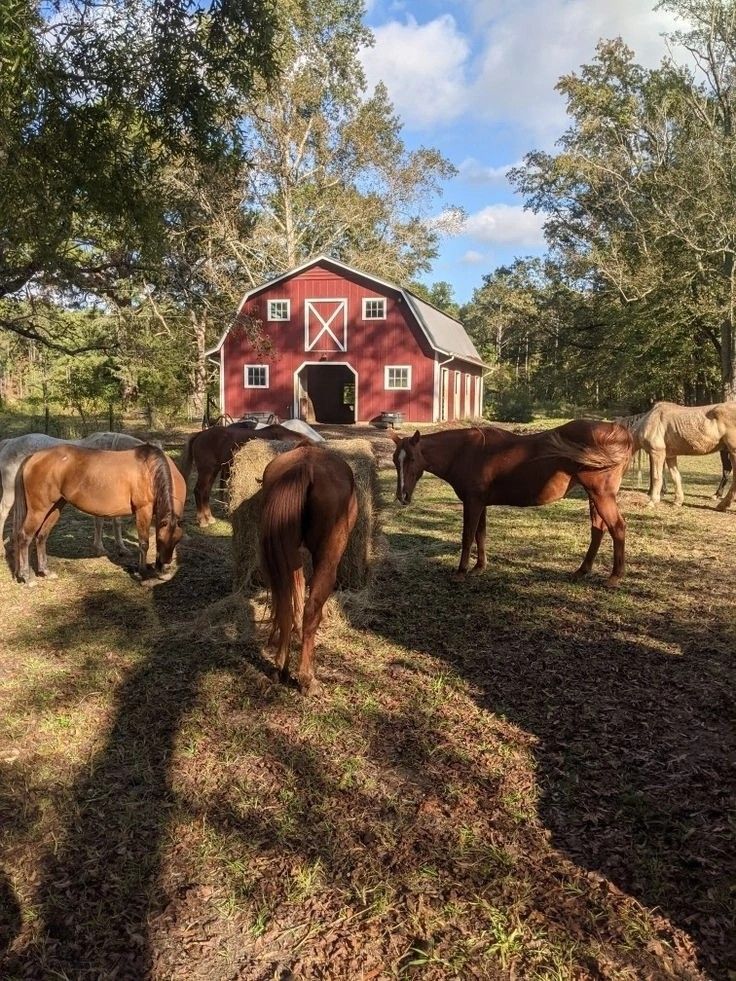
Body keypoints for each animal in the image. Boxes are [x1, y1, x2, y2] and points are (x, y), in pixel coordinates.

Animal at [0, 428, 150, 552]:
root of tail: (10, 442)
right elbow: (99, 522)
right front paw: (100, 547)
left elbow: (116, 522)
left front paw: (122, 547)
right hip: (10, 492)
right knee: (3, 513)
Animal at [14, 442, 185, 580]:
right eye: (162, 540)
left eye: (177, 541)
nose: (165, 563)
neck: (149, 471)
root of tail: (34, 456)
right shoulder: (143, 511)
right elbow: (144, 543)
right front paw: (141, 572)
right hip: (38, 510)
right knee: (25, 536)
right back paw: (26, 577)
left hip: (55, 507)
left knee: (42, 536)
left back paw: (45, 571)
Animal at [260, 446, 358, 696]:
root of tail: (305, 466)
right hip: (328, 558)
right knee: (312, 608)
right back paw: (307, 678)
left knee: (285, 605)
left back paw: (281, 667)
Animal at [392, 420, 632, 584]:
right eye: (395, 460)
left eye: (412, 458)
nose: (402, 496)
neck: (465, 451)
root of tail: (619, 432)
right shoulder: (480, 503)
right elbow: (480, 534)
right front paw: (479, 567)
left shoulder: (473, 503)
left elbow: (468, 536)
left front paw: (461, 571)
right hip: (594, 496)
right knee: (598, 529)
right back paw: (583, 570)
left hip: (601, 495)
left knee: (617, 527)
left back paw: (615, 576)